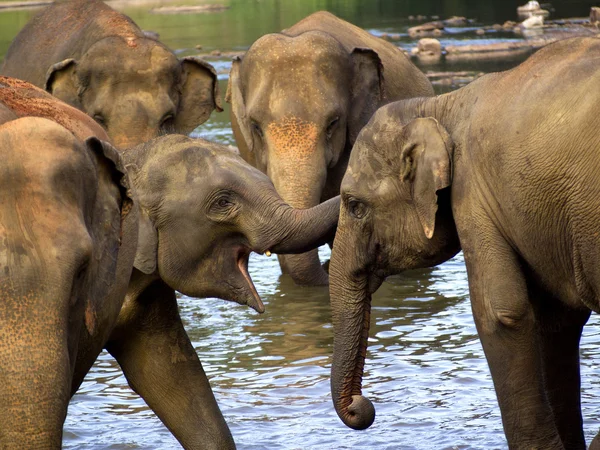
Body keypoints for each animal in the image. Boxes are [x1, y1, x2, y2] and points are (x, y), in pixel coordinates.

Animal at [330, 36, 600, 450]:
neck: (442, 107)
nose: (364, 406)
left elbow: (500, 312)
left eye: (355, 206)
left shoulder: (473, 193)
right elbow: (558, 318)